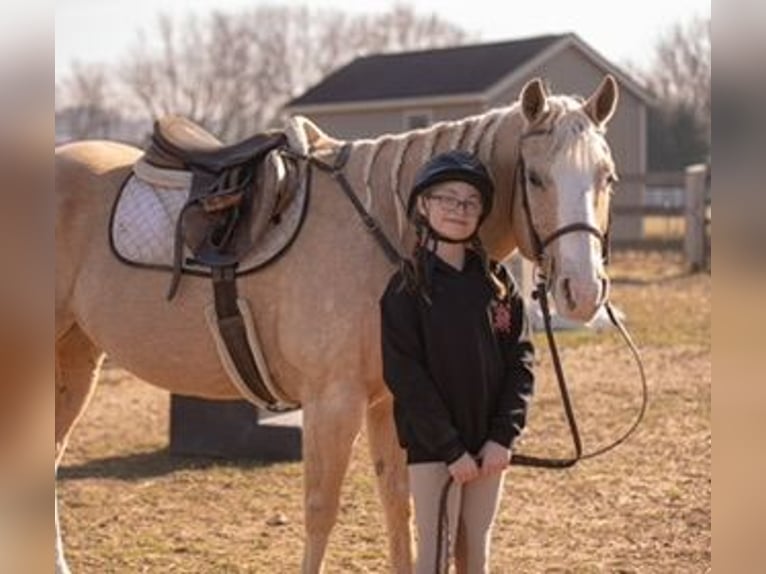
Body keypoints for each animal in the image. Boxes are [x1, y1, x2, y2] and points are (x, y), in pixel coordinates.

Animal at [55, 75, 619, 573]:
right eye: (535, 177)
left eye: (607, 177)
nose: (583, 291)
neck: (384, 222)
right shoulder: (333, 402)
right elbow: (321, 512)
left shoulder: (392, 402)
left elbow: (400, 506)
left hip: (75, 360)